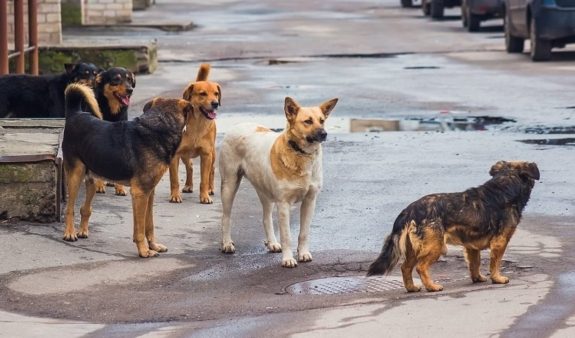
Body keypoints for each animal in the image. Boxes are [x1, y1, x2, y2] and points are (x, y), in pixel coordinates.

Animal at [62, 83, 191, 258]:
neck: (159, 125)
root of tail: (75, 114)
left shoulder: (149, 192)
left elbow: (149, 224)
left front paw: (153, 245)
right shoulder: (140, 193)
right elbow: (139, 229)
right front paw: (144, 250)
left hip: (92, 179)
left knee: (85, 208)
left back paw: (82, 231)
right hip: (75, 175)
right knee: (69, 209)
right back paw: (70, 233)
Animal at [92, 66, 137, 195]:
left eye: (129, 79)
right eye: (116, 79)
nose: (130, 90)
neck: (112, 112)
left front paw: (120, 188)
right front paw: (99, 185)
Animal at [169, 63, 220, 203]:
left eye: (216, 93)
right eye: (202, 94)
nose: (215, 103)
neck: (197, 124)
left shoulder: (206, 155)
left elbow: (204, 179)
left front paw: (205, 196)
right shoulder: (175, 155)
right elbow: (174, 179)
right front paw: (175, 195)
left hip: (212, 154)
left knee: (212, 170)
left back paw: (210, 188)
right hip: (185, 155)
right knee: (190, 166)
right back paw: (188, 185)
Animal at [219, 96, 338, 268]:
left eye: (322, 121)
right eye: (308, 121)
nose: (324, 134)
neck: (300, 154)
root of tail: (238, 125)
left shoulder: (310, 201)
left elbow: (304, 233)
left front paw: (303, 253)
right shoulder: (283, 204)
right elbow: (287, 236)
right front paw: (288, 259)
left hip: (265, 192)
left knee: (266, 218)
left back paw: (272, 243)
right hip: (229, 185)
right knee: (226, 217)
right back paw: (227, 243)